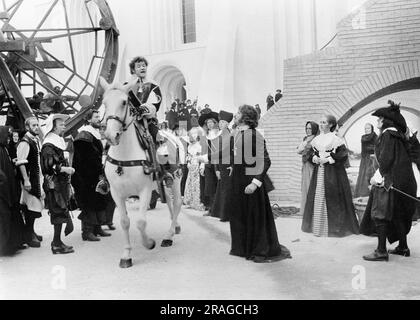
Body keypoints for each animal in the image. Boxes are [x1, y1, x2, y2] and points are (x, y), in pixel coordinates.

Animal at [100, 77, 177, 268]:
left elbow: (141, 222)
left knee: (177, 204)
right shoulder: (116, 193)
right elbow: (124, 222)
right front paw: (126, 255)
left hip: (176, 181)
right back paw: (174, 230)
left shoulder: (145, 190)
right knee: (170, 203)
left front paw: (149, 243)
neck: (125, 155)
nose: (111, 135)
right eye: (104, 103)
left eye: (124, 102)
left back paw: (169, 235)